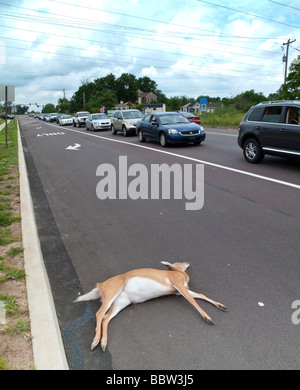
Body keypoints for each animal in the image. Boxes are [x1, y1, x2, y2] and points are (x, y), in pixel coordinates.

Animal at [74, 262, 229, 350]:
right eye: (178, 261)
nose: (187, 262)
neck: (179, 274)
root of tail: (99, 286)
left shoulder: (178, 291)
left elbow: (200, 295)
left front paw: (222, 306)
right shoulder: (178, 284)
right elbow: (193, 300)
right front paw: (208, 318)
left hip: (121, 302)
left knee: (106, 317)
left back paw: (103, 343)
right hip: (113, 292)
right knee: (99, 313)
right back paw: (95, 342)